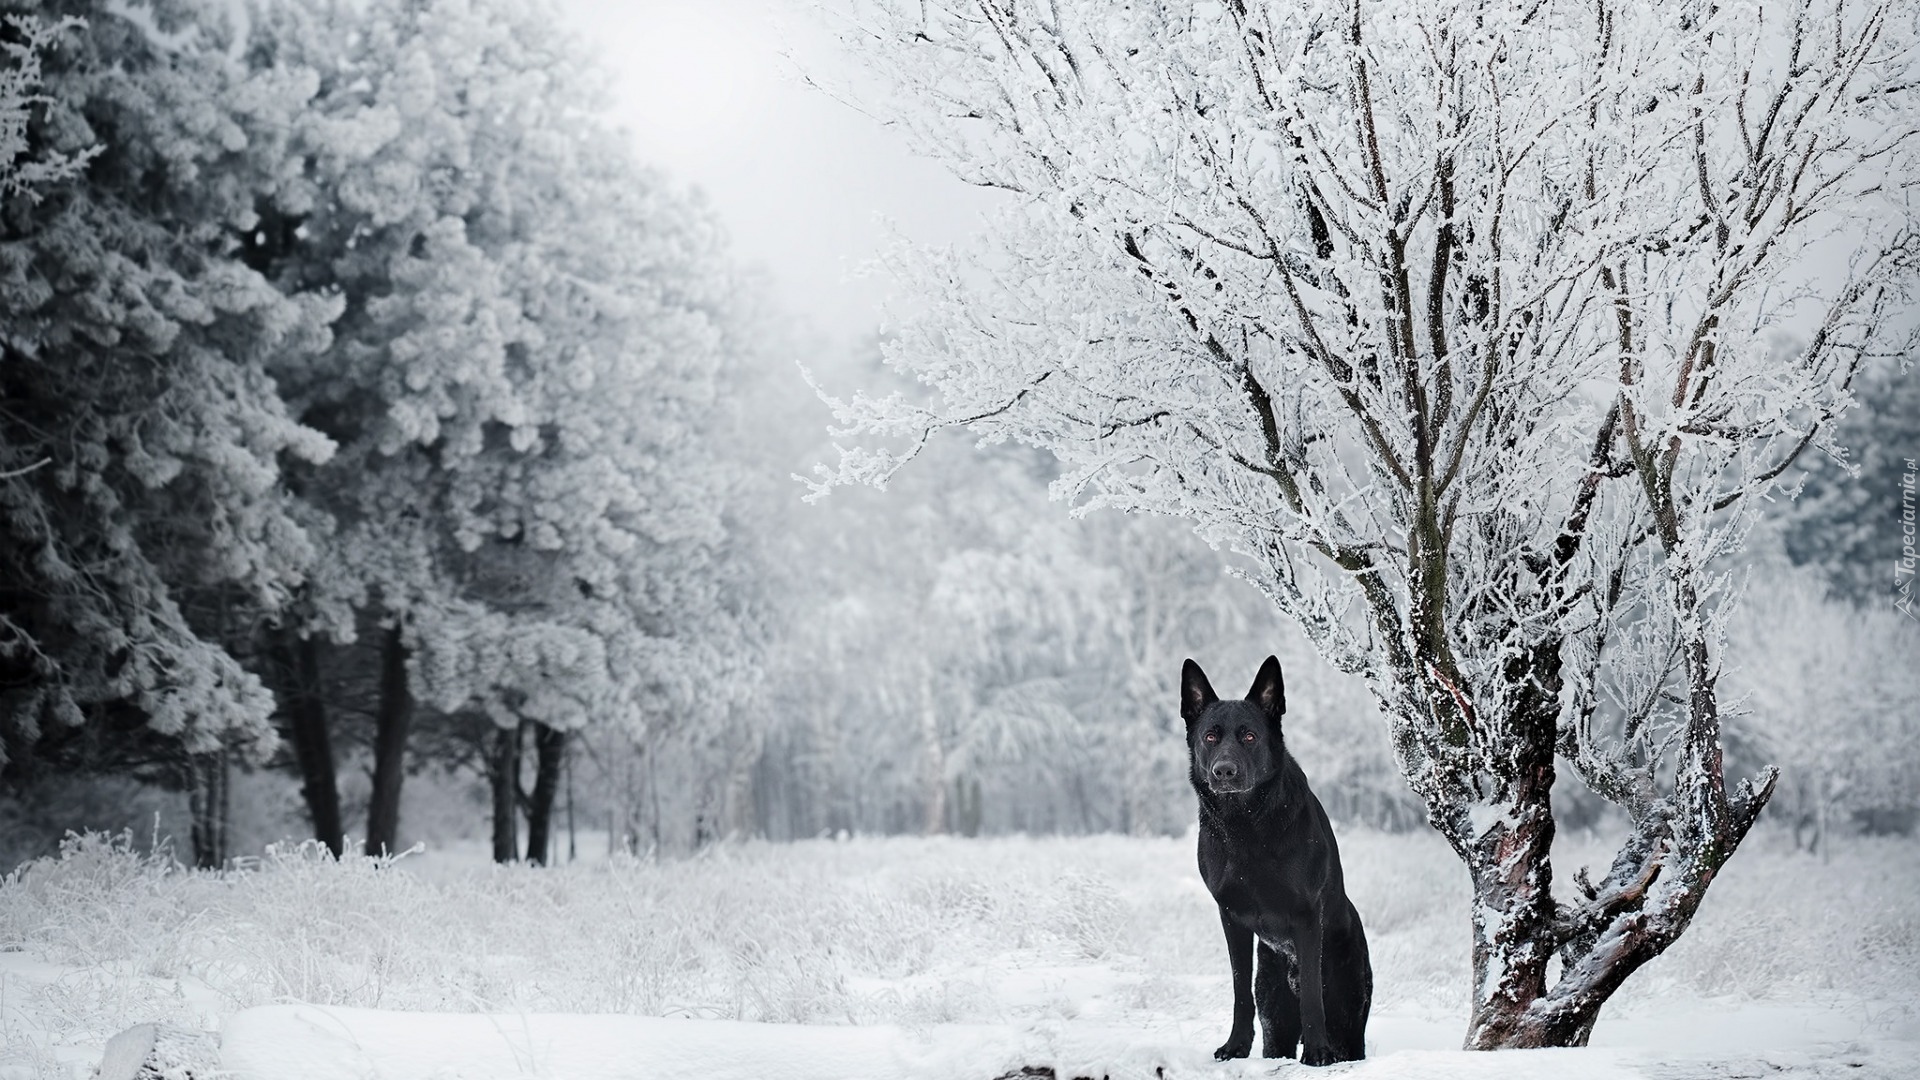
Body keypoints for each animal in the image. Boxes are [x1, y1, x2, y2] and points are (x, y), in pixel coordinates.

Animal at [1175, 653, 1374, 1060]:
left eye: (1250, 736)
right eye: (1210, 737)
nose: (1224, 771)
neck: (1245, 826)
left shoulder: (1306, 915)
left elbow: (1312, 994)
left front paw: (1317, 1053)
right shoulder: (1231, 917)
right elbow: (1239, 990)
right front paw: (1235, 1045)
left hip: (1349, 1021)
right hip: (1274, 1018)